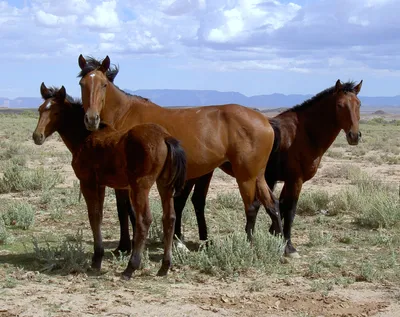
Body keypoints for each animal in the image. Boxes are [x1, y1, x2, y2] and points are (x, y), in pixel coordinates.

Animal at [31, 83, 188, 276]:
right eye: (40, 110)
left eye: (56, 112)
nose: (37, 136)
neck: (85, 138)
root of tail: (165, 137)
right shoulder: (101, 185)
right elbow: (99, 215)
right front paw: (97, 258)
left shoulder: (87, 182)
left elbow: (93, 216)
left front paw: (97, 260)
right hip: (164, 184)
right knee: (169, 218)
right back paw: (164, 267)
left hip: (140, 186)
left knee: (144, 220)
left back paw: (130, 267)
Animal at [77, 55, 284, 251]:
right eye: (82, 84)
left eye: (104, 84)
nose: (91, 119)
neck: (126, 116)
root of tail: (265, 120)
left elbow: (126, 211)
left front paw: (126, 247)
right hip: (257, 174)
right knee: (272, 203)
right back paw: (284, 245)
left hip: (245, 176)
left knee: (251, 207)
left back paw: (250, 244)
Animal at [167, 78, 364, 256]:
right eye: (339, 105)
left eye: (359, 104)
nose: (354, 136)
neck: (302, 133)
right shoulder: (295, 180)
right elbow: (290, 210)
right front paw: (288, 245)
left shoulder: (283, 180)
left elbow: (280, 206)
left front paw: (276, 236)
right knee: (181, 201)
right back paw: (179, 242)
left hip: (206, 172)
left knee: (196, 201)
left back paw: (200, 240)